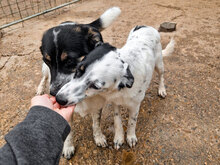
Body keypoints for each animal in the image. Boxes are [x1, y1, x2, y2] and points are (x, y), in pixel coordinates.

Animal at [35, 7, 120, 159]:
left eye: (70, 60)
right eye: (47, 60)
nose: (54, 94)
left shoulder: (98, 102)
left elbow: (96, 123)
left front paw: (98, 137)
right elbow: (69, 130)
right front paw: (68, 147)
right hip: (44, 71)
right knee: (44, 77)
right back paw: (40, 88)